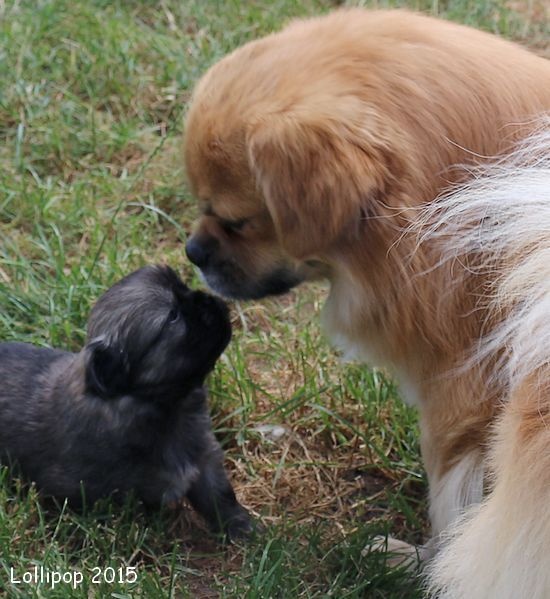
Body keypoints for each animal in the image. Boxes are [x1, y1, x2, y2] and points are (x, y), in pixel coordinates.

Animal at [0, 268, 252, 540]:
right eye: (172, 316)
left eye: (183, 287)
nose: (210, 299)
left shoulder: (204, 456)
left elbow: (219, 495)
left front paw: (241, 528)